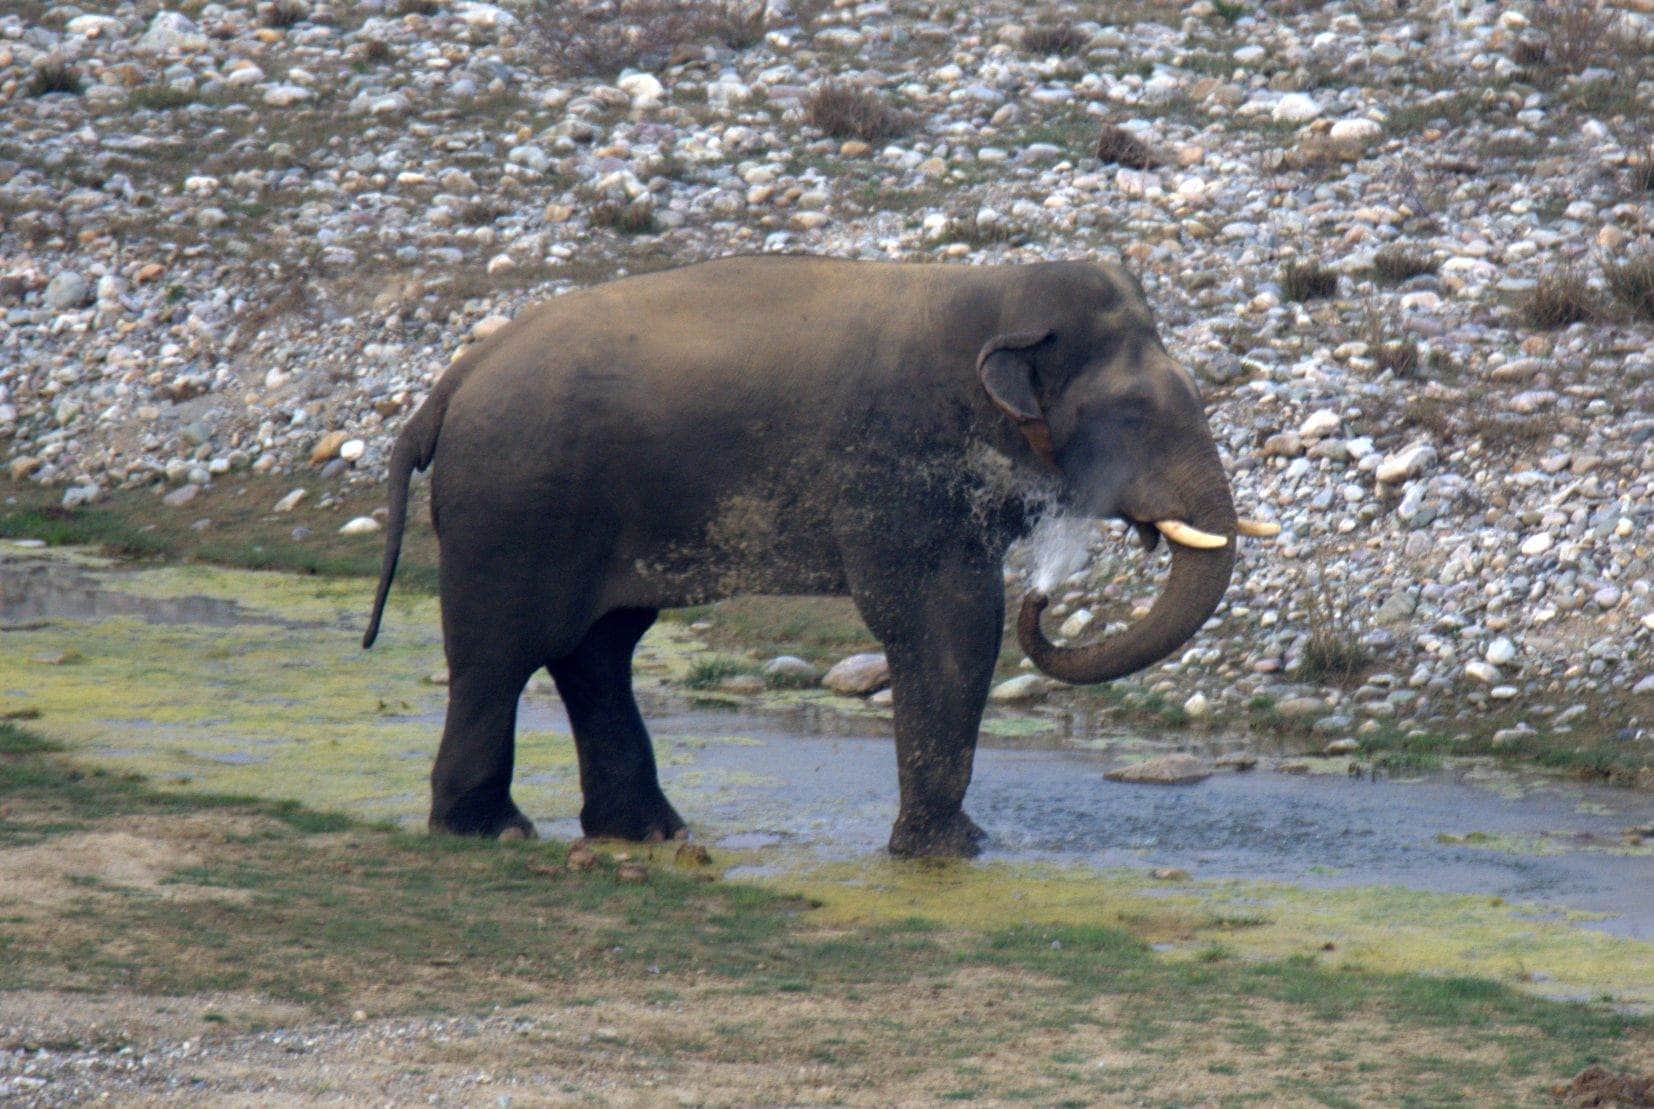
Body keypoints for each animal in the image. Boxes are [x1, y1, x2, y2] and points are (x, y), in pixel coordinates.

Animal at [363, 255, 1276, 857]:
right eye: (1136, 412)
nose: (1044, 597)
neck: (988, 290)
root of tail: (448, 383)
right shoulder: (896, 468)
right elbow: (947, 623)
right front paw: (951, 850)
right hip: (512, 509)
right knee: (501, 654)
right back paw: (494, 830)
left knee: (598, 651)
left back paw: (648, 830)